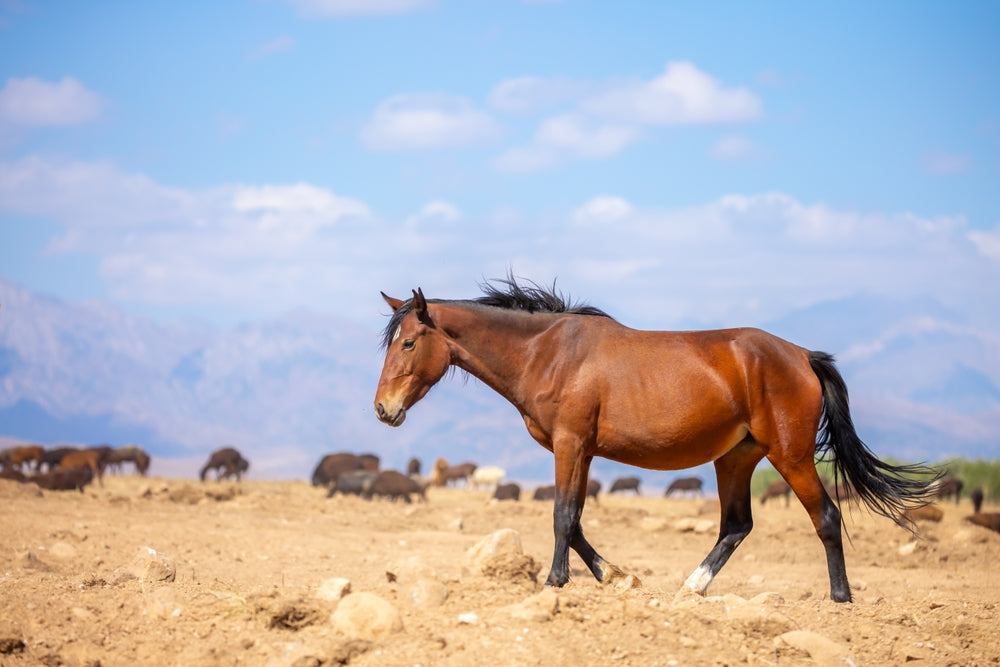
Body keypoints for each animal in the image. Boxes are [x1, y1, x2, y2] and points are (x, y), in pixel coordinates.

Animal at [372, 277, 937, 602]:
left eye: (408, 343)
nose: (383, 409)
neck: (547, 353)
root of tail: (801, 355)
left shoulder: (571, 444)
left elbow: (562, 515)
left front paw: (556, 583)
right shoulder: (581, 451)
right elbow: (576, 520)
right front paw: (618, 577)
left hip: (790, 455)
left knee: (826, 517)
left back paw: (840, 598)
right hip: (736, 459)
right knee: (737, 525)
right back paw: (692, 588)